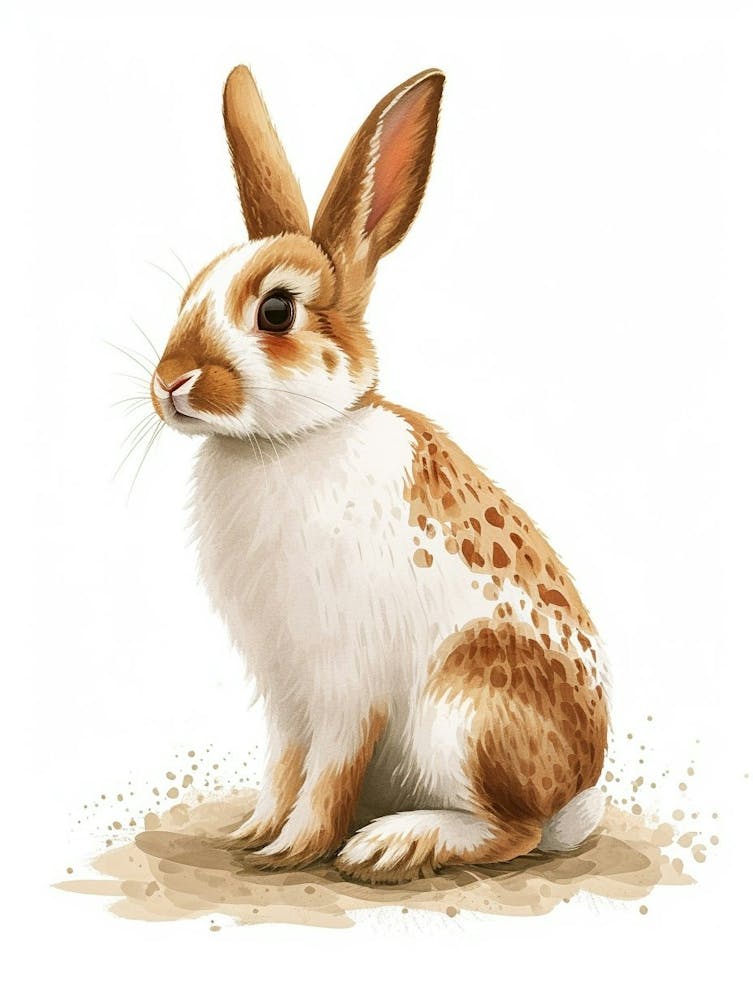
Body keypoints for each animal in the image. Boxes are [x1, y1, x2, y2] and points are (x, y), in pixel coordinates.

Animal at [149, 64, 609, 884]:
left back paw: (396, 843)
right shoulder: (285, 692)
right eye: (187, 295)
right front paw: (253, 835)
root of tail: (576, 792)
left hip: (464, 709)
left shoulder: (347, 682)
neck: (287, 440)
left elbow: (328, 772)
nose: (170, 381)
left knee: (512, 832)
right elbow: (283, 766)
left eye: (276, 310)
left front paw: (297, 848)